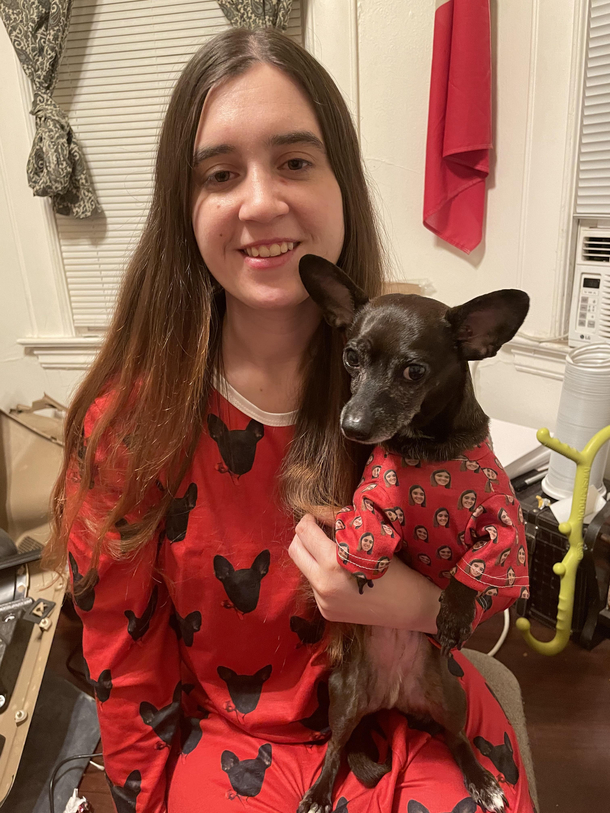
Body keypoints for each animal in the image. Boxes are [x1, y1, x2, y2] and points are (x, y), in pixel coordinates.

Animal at [294, 256, 528, 812]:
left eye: (414, 371)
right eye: (351, 357)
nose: (354, 427)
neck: (425, 450)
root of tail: (393, 701)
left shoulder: (504, 523)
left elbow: (478, 566)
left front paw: (457, 612)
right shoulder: (371, 498)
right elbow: (369, 527)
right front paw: (363, 565)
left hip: (450, 696)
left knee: (457, 738)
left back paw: (482, 780)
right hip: (344, 697)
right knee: (335, 749)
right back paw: (319, 791)